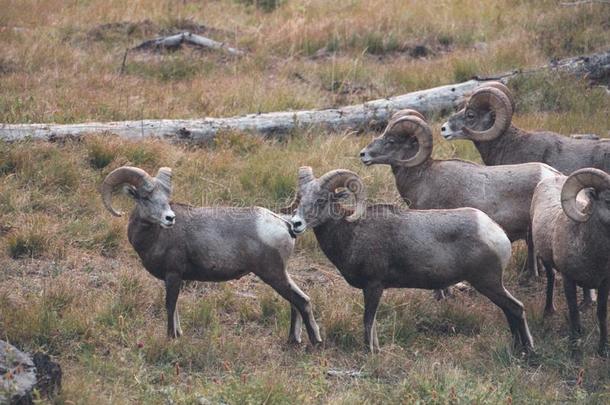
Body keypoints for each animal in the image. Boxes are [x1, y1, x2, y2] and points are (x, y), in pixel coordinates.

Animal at [98, 164, 324, 344]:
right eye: (145, 197)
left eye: (166, 199)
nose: (169, 218)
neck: (155, 237)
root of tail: (285, 225)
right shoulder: (174, 278)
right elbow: (175, 307)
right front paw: (178, 334)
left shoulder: (173, 275)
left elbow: (170, 305)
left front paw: (171, 338)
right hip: (281, 275)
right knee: (296, 302)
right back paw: (293, 340)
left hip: (273, 274)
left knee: (302, 301)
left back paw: (315, 341)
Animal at [284, 166, 532, 352]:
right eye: (300, 198)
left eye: (321, 200)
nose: (296, 224)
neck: (352, 233)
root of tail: (496, 232)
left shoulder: (373, 286)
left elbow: (368, 321)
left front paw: (370, 351)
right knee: (510, 311)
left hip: (488, 283)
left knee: (516, 308)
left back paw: (527, 349)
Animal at [528, 169, 608, 356]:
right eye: (608, 201)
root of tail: (553, 177)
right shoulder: (568, 279)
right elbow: (573, 312)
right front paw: (575, 346)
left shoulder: (604, 282)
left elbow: (601, 313)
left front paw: (603, 349)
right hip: (546, 260)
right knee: (550, 278)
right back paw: (549, 310)